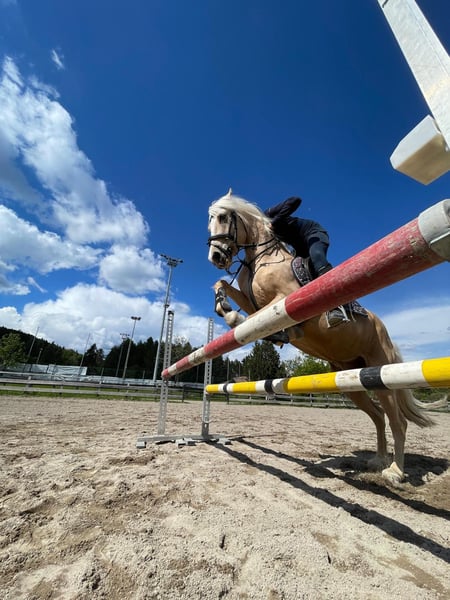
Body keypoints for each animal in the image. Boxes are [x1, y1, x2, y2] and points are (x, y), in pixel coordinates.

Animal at [207, 190, 443, 487]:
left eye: (223, 217)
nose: (216, 256)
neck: (259, 257)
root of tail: (386, 334)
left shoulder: (283, 301)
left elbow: (250, 319)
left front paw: (237, 321)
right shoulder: (252, 303)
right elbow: (223, 288)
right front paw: (224, 307)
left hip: (381, 375)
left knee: (397, 421)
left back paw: (394, 472)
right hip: (352, 380)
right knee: (378, 417)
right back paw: (378, 460)